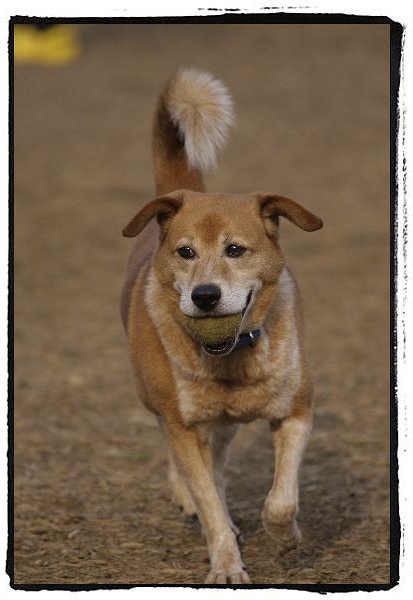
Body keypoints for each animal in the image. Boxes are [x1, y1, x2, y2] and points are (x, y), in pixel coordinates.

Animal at [120, 68, 322, 584]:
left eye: (236, 250)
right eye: (185, 252)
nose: (205, 295)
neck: (231, 358)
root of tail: (183, 190)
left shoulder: (296, 412)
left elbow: (280, 499)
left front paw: (286, 537)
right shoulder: (183, 425)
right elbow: (206, 497)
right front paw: (227, 564)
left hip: (229, 425)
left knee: (222, 463)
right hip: (156, 401)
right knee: (188, 464)